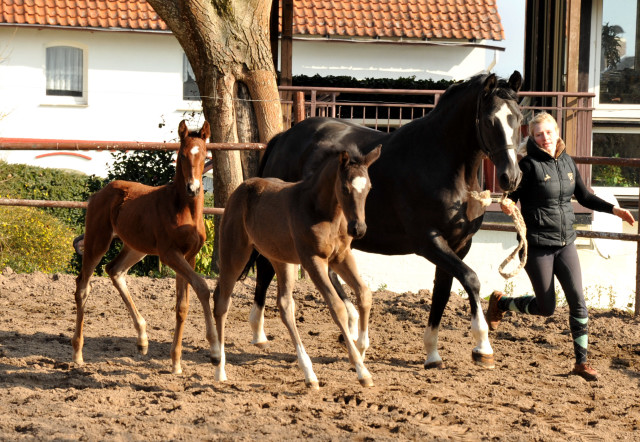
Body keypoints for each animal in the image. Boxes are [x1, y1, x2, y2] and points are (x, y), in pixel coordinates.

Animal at [71, 120, 214, 372]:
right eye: (183, 154)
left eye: (204, 154)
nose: (193, 188)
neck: (183, 209)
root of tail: (100, 192)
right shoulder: (169, 255)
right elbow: (202, 287)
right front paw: (214, 344)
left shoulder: (189, 257)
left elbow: (182, 306)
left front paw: (176, 362)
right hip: (97, 241)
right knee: (83, 286)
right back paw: (78, 354)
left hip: (136, 247)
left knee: (114, 270)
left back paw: (142, 340)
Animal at [248, 72, 524, 370]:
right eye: (490, 120)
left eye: (519, 118)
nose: (511, 177)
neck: (439, 162)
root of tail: (285, 137)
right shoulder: (429, 242)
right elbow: (471, 279)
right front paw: (483, 347)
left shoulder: (459, 245)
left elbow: (442, 292)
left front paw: (432, 354)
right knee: (266, 269)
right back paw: (259, 333)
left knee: (329, 274)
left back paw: (352, 328)